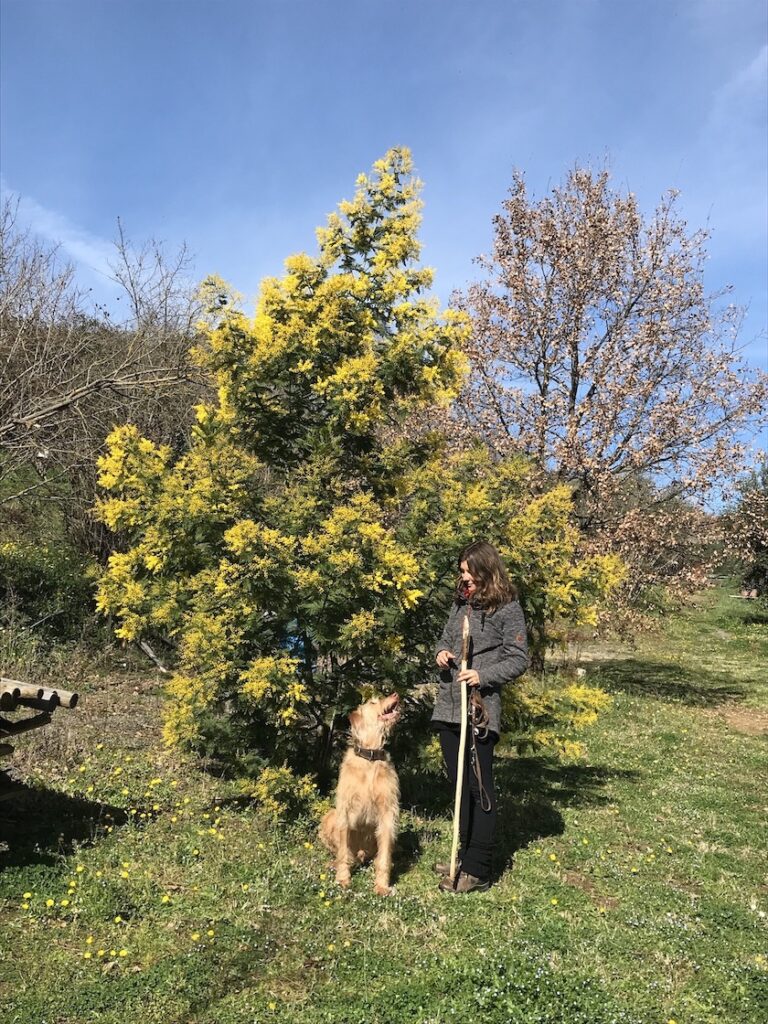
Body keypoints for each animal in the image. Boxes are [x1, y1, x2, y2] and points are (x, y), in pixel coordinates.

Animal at [319, 692, 403, 892]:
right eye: (373, 702)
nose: (396, 694)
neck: (370, 758)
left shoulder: (388, 812)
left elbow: (384, 855)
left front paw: (382, 885)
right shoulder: (345, 810)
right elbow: (343, 852)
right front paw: (343, 878)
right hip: (330, 816)